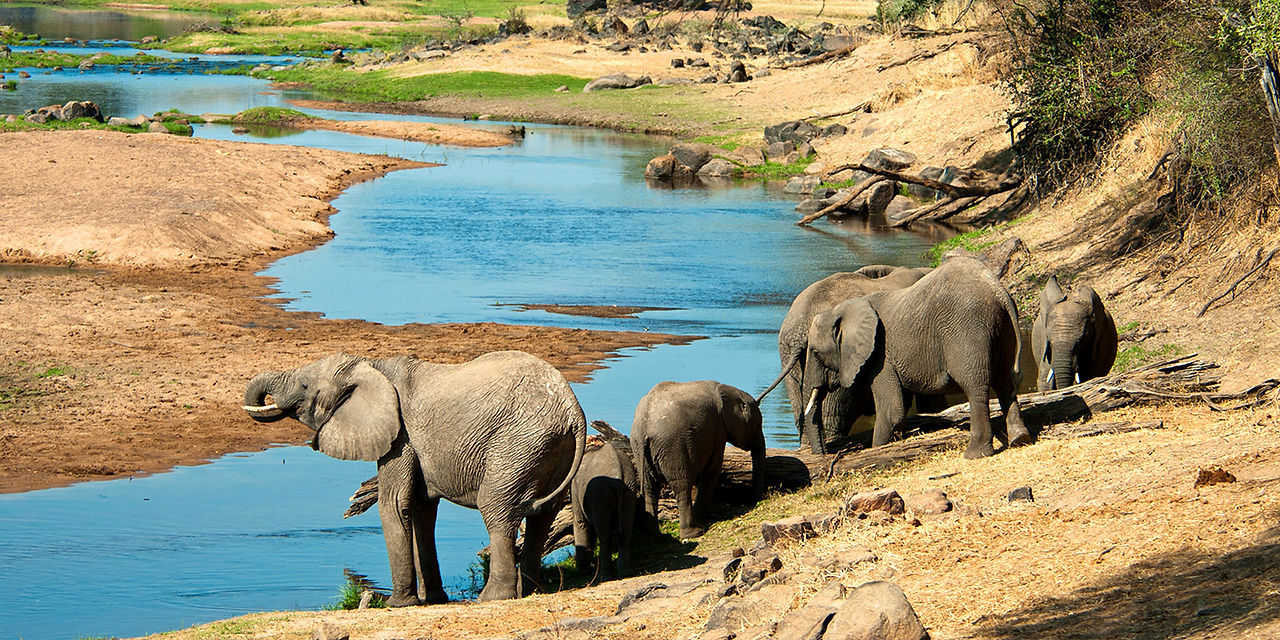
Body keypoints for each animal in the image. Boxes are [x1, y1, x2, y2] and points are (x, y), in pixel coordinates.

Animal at [241, 350, 586, 605]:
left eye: (303, 386)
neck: (371, 366)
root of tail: (573, 411)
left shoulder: (400, 437)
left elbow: (394, 504)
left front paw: (398, 604)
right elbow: (421, 510)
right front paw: (433, 600)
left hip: (517, 444)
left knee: (497, 511)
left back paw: (492, 598)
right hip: (549, 449)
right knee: (542, 516)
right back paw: (531, 591)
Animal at [570, 426, 639, 583]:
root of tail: (618, 472)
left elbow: (580, 522)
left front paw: (583, 571)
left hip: (600, 493)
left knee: (604, 534)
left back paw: (604, 577)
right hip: (630, 488)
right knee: (625, 530)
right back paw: (626, 573)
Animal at [631, 380, 764, 539]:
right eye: (757, 424)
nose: (755, 500)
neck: (726, 389)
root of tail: (644, 428)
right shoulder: (718, 429)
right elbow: (712, 469)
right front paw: (704, 516)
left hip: (639, 449)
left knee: (650, 487)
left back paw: (654, 535)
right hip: (673, 447)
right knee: (681, 486)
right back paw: (694, 533)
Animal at [805, 257, 1030, 459]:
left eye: (815, 352)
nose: (826, 455)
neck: (844, 308)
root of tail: (997, 290)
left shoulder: (881, 355)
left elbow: (891, 410)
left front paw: (876, 449)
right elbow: (901, 408)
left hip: (967, 327)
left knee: (976, 385)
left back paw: (975, 454)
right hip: (1004, 329)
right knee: (1005, 382)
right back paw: (1020, 439)